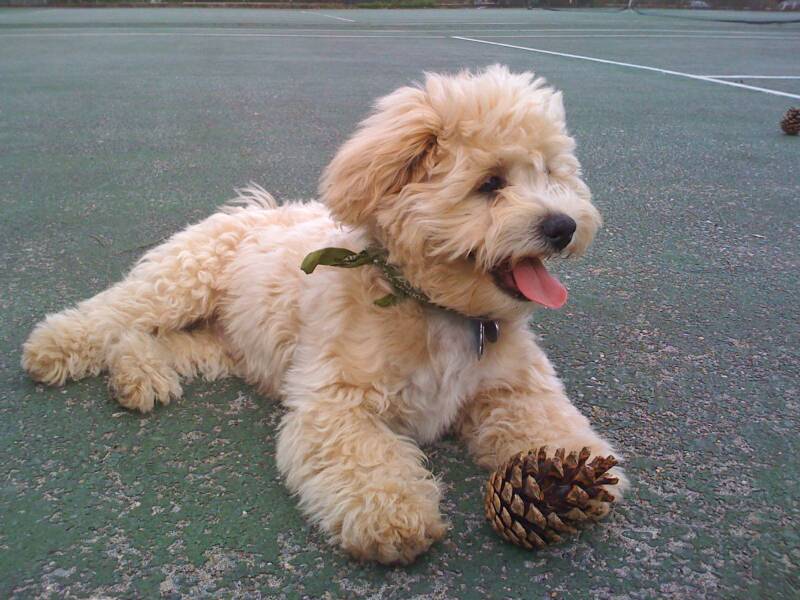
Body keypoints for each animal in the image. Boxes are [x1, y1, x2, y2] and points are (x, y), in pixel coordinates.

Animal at [21, 67, 628, 568]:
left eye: (553, 173)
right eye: (491, 183)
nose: (563, 226)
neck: (440, 310)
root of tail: (253, 212)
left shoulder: (517, 388)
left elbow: (552, 426)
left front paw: (578, 476)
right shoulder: (334, 402)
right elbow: (367, 463)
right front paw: (394, 516)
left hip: (224, 348)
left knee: (147, 340)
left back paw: (137, 376)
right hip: (177, 285)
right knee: (114, 313)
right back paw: (51, 348)